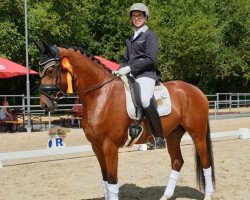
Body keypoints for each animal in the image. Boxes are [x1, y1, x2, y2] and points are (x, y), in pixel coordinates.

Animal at [36, 42, 215, 200]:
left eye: (50, 70)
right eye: (39, 71)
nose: (44, 103)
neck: (101, 94)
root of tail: (197, 91)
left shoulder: (110, 146)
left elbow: (112, 181)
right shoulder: (97, 147)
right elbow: (105, 180)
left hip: (197, 133)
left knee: (205, 161)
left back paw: (208, 195)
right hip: (173, 135)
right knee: (177, 161)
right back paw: (166, 196)